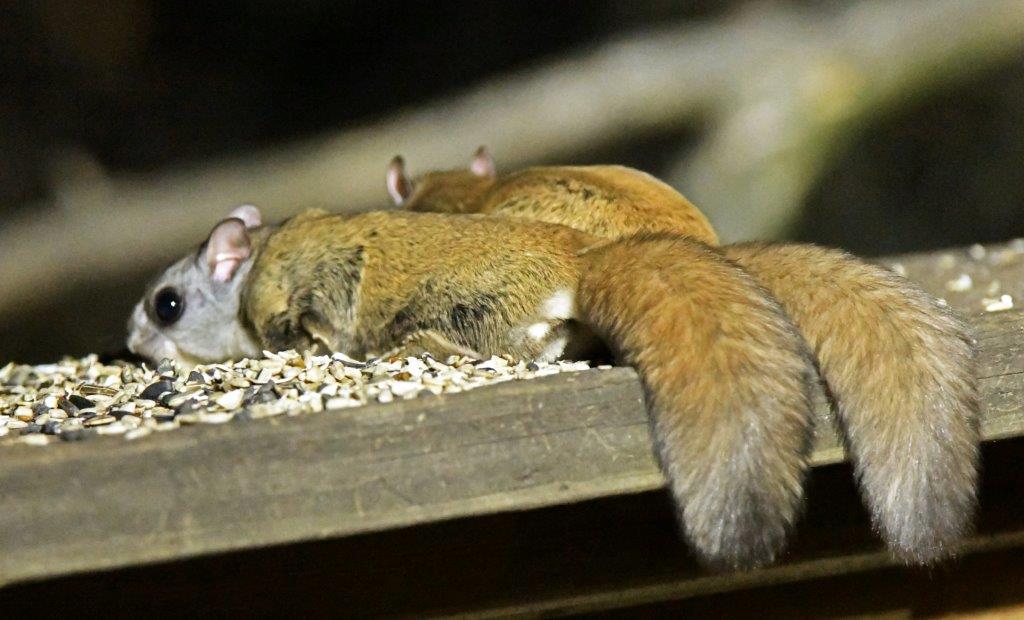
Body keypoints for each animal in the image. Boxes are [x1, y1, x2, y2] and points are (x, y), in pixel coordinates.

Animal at [129, 204, 821, 570]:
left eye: (168, 305)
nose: (134, 344)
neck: (249, 270)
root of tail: (579, 261)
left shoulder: (288, 294)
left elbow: (308, 328)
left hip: (465, 306)